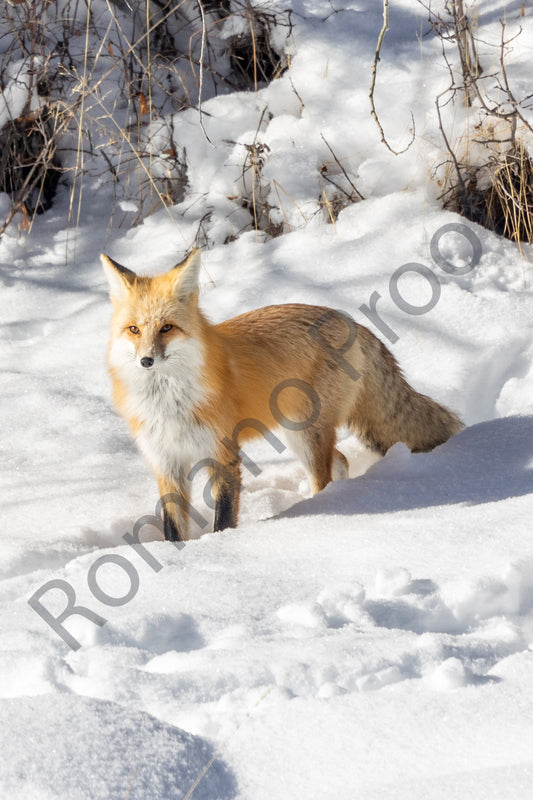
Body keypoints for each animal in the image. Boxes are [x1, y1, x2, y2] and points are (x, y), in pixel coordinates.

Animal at [101, 248, 462, 536]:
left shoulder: (223, 455)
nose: (146, 360)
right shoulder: (167, 463)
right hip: (296, 433)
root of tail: (351, 320)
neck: (169, 403)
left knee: (325, 476)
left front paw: (219, 546)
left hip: (306, 433)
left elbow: (223, 520)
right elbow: (173, 530)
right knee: (341, 461)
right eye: (134, 330)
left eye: (167, 328)